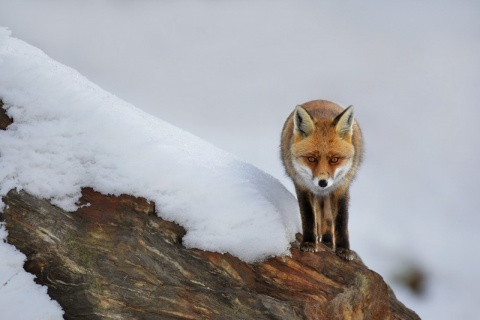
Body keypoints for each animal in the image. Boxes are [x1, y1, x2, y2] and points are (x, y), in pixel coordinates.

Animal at [280, 100, 362, 260]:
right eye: (311, 159)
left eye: (335, 159)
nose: (322, 182)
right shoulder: (302, 185)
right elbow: (308, 216)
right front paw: (309, 242)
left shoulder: (341, 187)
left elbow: (341, 220)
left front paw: (344, 249)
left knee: (328, 219)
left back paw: (328, 241)